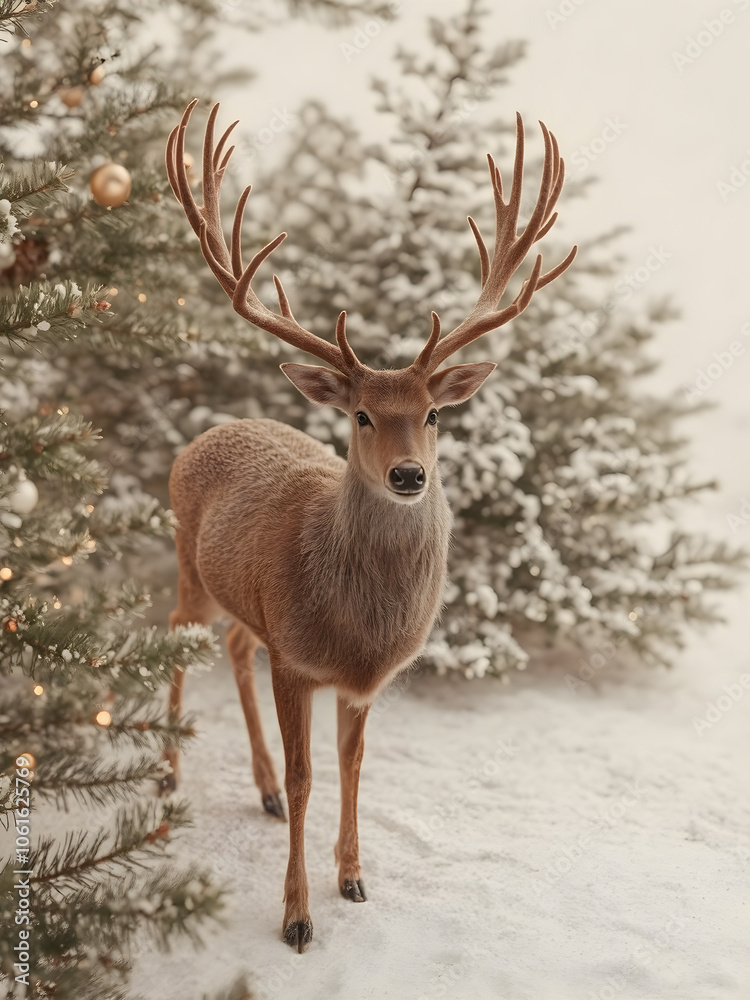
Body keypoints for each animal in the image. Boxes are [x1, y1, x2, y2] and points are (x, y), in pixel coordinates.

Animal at [163, 99, 576, 952]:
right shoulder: (297, 658)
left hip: (241, 598)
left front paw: (352, 878)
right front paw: (295, 917)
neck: (359, 627)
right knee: (175, 634)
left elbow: (353, 768)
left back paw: (257, 790)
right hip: (189, 563)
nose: (408, 475)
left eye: (432, 414)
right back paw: (168, 773)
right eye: (360, 414)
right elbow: (310, 775)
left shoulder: (361, 681)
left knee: (234, 645)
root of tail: (207, 433)